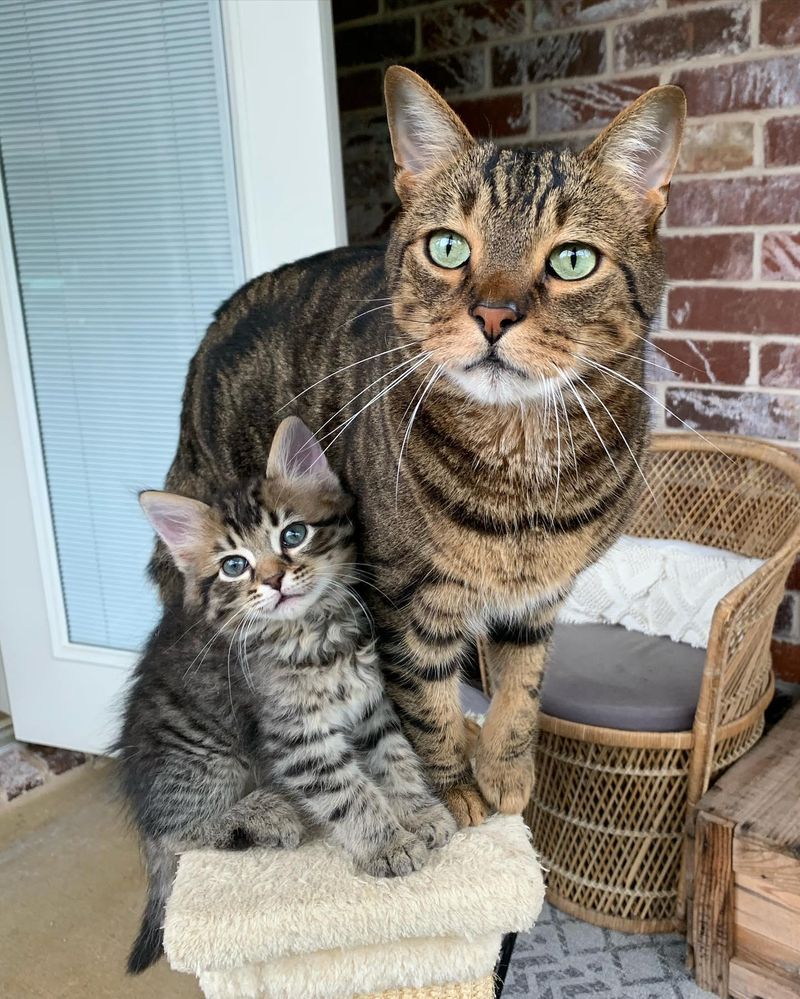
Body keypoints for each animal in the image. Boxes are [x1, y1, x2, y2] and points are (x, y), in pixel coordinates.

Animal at [119, 416, 456, 976]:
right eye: (234, 565)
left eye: (293, 534)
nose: (274, 579)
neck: (315, 634)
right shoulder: (299, 739)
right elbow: (351, 792)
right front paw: (387, 845)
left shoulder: (371, 709)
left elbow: (397, 760)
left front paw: (418, 811)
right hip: (210, 759)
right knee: (178, 833)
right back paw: (266, 815)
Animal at [156, 64, 688, 828]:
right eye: (448, 247)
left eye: (573, 259)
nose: (494, 313)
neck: (522, 469)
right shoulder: (403, 601)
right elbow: (425, 703)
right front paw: (454, 789)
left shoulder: (541, 599)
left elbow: (521, 687)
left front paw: (505, 773)